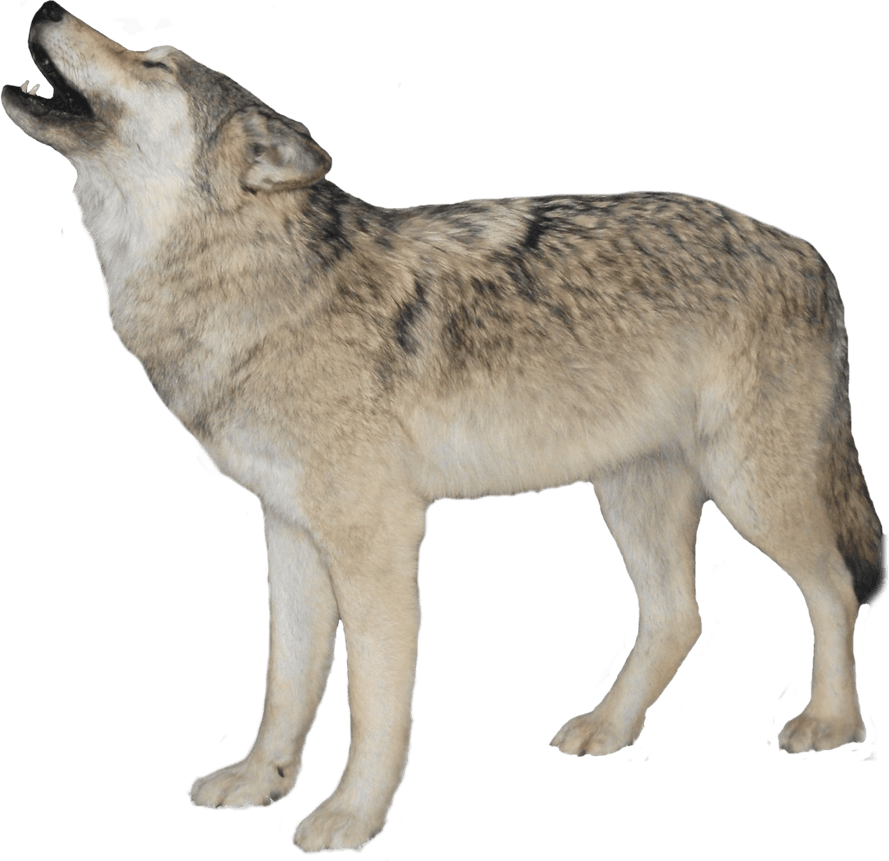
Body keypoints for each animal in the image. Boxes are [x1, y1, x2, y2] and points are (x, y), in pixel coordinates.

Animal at [4, 1, 886, 853]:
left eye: (154, 62)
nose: (45, 6)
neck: (253, 288)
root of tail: (807, 250)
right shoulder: (288, 528)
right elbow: (286, 681)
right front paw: (260, 780)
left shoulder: (376, 538)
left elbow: (372, 704)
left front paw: (349, 816)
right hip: (631, 495)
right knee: (679, 615)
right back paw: (608, 726)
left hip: (749, 491)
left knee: (833, 587)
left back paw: (832, 722)